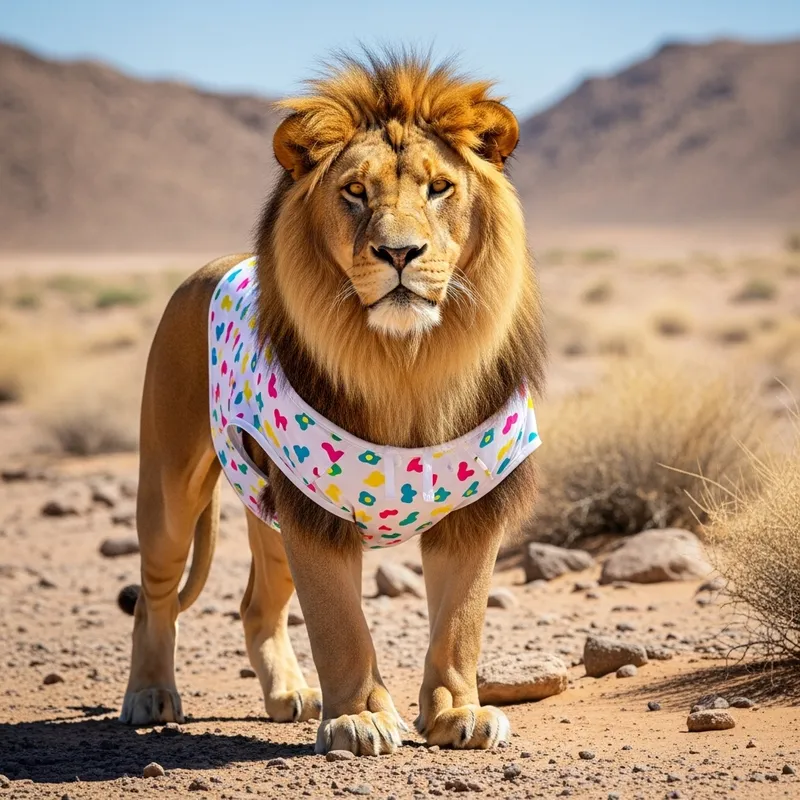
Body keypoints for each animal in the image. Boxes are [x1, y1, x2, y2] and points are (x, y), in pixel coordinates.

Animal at [118, 51, 546, 756]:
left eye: (439, 188)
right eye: (354, 192)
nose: (399, 252)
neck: (406, 366)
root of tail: (212, 264)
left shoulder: (472, 510)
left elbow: (460, 624)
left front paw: (458, 713)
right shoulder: (315, 515)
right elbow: (342, 628)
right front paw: (361, 717)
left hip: (268, 512)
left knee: (257, 605)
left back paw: (291, 695)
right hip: (171, 487)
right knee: (156, 594)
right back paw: (150, 695)